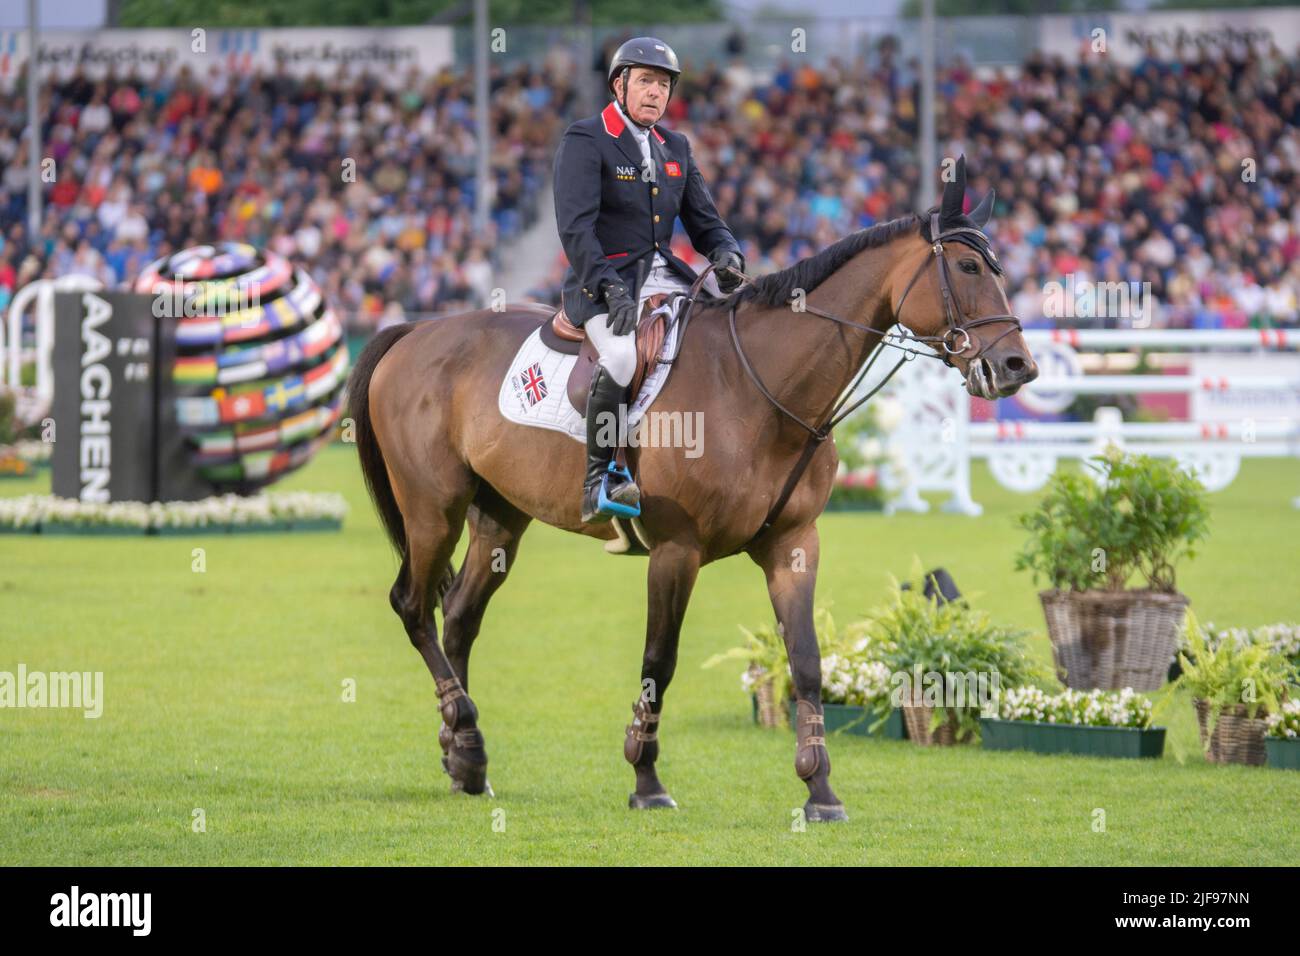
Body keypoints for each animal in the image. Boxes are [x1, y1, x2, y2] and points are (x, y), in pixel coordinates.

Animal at [345, 162, 1034, 822]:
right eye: (969, 266)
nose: (1017, 367)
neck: (758, 387)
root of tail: (415, 333)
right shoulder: (677, 550)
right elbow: (659, 662)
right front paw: (646, 781)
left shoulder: (793, 544)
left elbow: (806, 661)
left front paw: (820, 791)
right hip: (433, 510)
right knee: (413, 606)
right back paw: (462, 731)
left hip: (500, 517)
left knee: (459, 618)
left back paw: (465, 759)